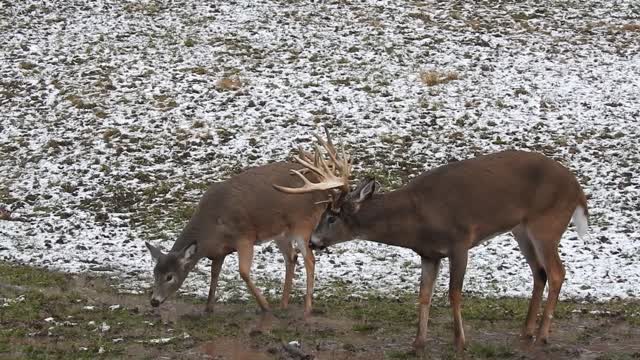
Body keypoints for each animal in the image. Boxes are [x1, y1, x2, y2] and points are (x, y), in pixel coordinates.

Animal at [146, 155, 332, 318]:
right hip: (280, 232)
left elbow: (243, 272)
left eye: (170, 276)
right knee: (292, 257)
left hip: (303, 223)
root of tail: (322, 189)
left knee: (309, 259)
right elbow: (214, 274)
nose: (154, 301)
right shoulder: (219, 251)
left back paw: (307, 308)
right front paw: (208, 308)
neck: (212, 228)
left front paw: (265, 306)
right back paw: (283, 304)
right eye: (154, 273)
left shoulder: (244, 237)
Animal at [272, 130, 588, 352]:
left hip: (547, 222)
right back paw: (526, 331)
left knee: (557, 272)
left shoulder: (460, 241)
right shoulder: (428, 253)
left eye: (332, 216)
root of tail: (577, 188)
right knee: (540, 272)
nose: (312, 242)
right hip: (521, 229)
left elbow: (454, 293)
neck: (417, 218)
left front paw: (460, 342)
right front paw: (418, 342)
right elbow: (424, 294)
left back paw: (542, 335)